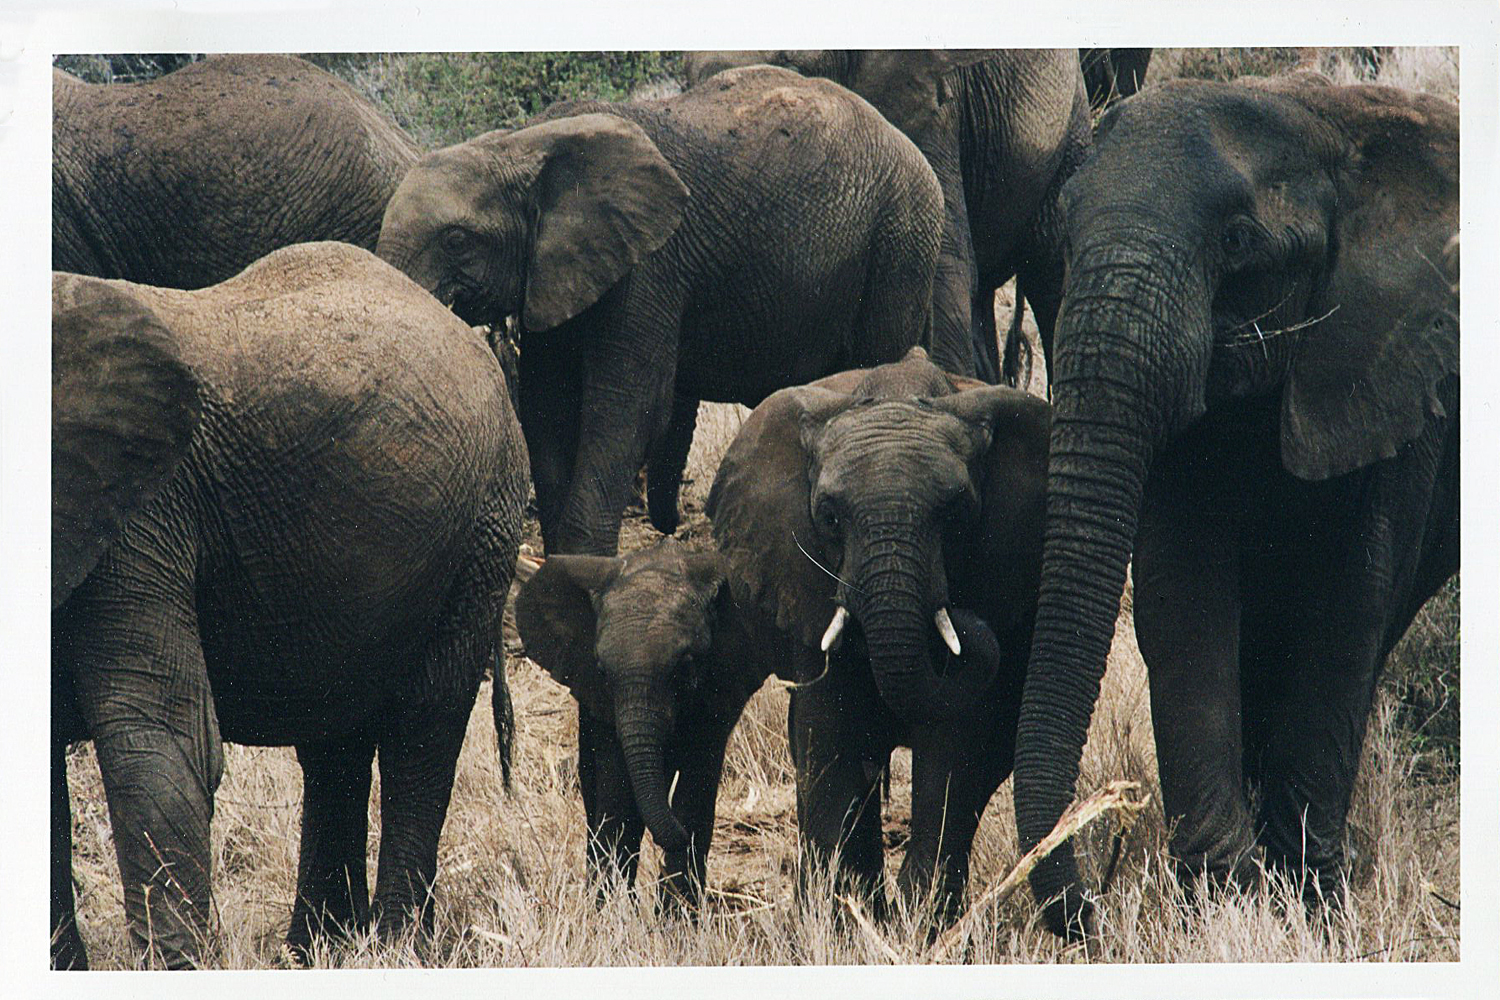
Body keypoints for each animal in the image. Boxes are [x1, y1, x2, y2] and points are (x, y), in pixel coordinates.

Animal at [51, 242, 530, 968]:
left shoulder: (141, 517)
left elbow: (159, 742)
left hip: (482, 532)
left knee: (422, 729)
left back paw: (394, 951)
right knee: (336, 742)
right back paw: (317, 951)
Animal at [376, 64, 944, 557]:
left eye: (457, 240)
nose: (673, 527)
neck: (523, 142)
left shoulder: (649, 262)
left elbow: (625, 406)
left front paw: (584, 564)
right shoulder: (558, 271)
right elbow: (548, 403)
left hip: (900, 242)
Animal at [682, 49, 1094, 386]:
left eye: (793, 69)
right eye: (689, 84)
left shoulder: (930, 103)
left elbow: (946, 263)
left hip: (1068, 122)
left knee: (1048, 276)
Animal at [703, 346, 1051, 920]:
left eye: (956, 515)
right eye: (829, 516)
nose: (965, 619)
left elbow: (954, 745)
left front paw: (920, 920)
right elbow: (830, 730)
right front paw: (840, 916)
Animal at [1008, 74, 1459, 936]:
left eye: (1240, 243)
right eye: (1067, 240)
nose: (1093, 911)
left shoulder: (1394, 362)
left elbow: (1350, 601)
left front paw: (1309, 907)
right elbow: (1185, 593)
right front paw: (1226, 902)